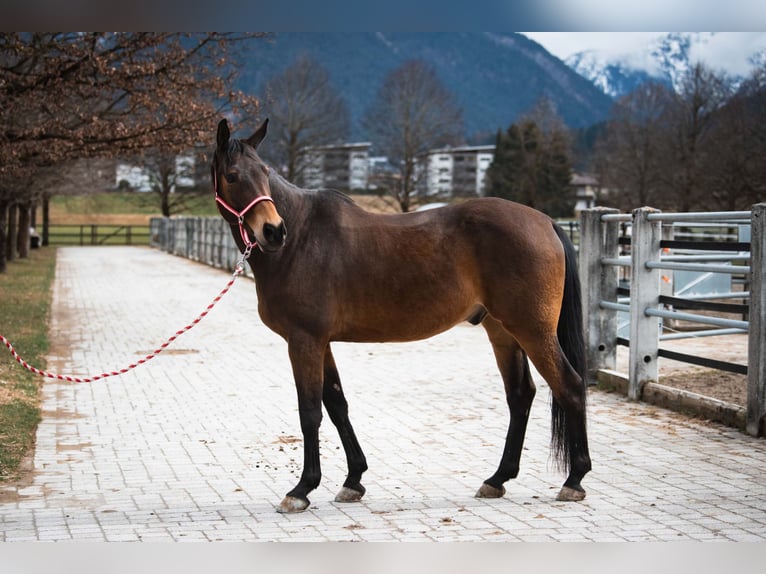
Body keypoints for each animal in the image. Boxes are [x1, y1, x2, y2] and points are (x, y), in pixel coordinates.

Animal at [211, 118, 591, 513]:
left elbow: (310, 411)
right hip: (503, 332)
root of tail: (545, 222)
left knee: (570, 385)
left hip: (533, 331)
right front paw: (354, 480)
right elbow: (337, 404)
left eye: (265, 173)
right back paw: (497, 479)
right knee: (520, 395)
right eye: (234, 175)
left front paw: (302, 489)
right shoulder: (321, 342)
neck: (301, 239)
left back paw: (574, 480)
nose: (273, 231)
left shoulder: (304, 341)